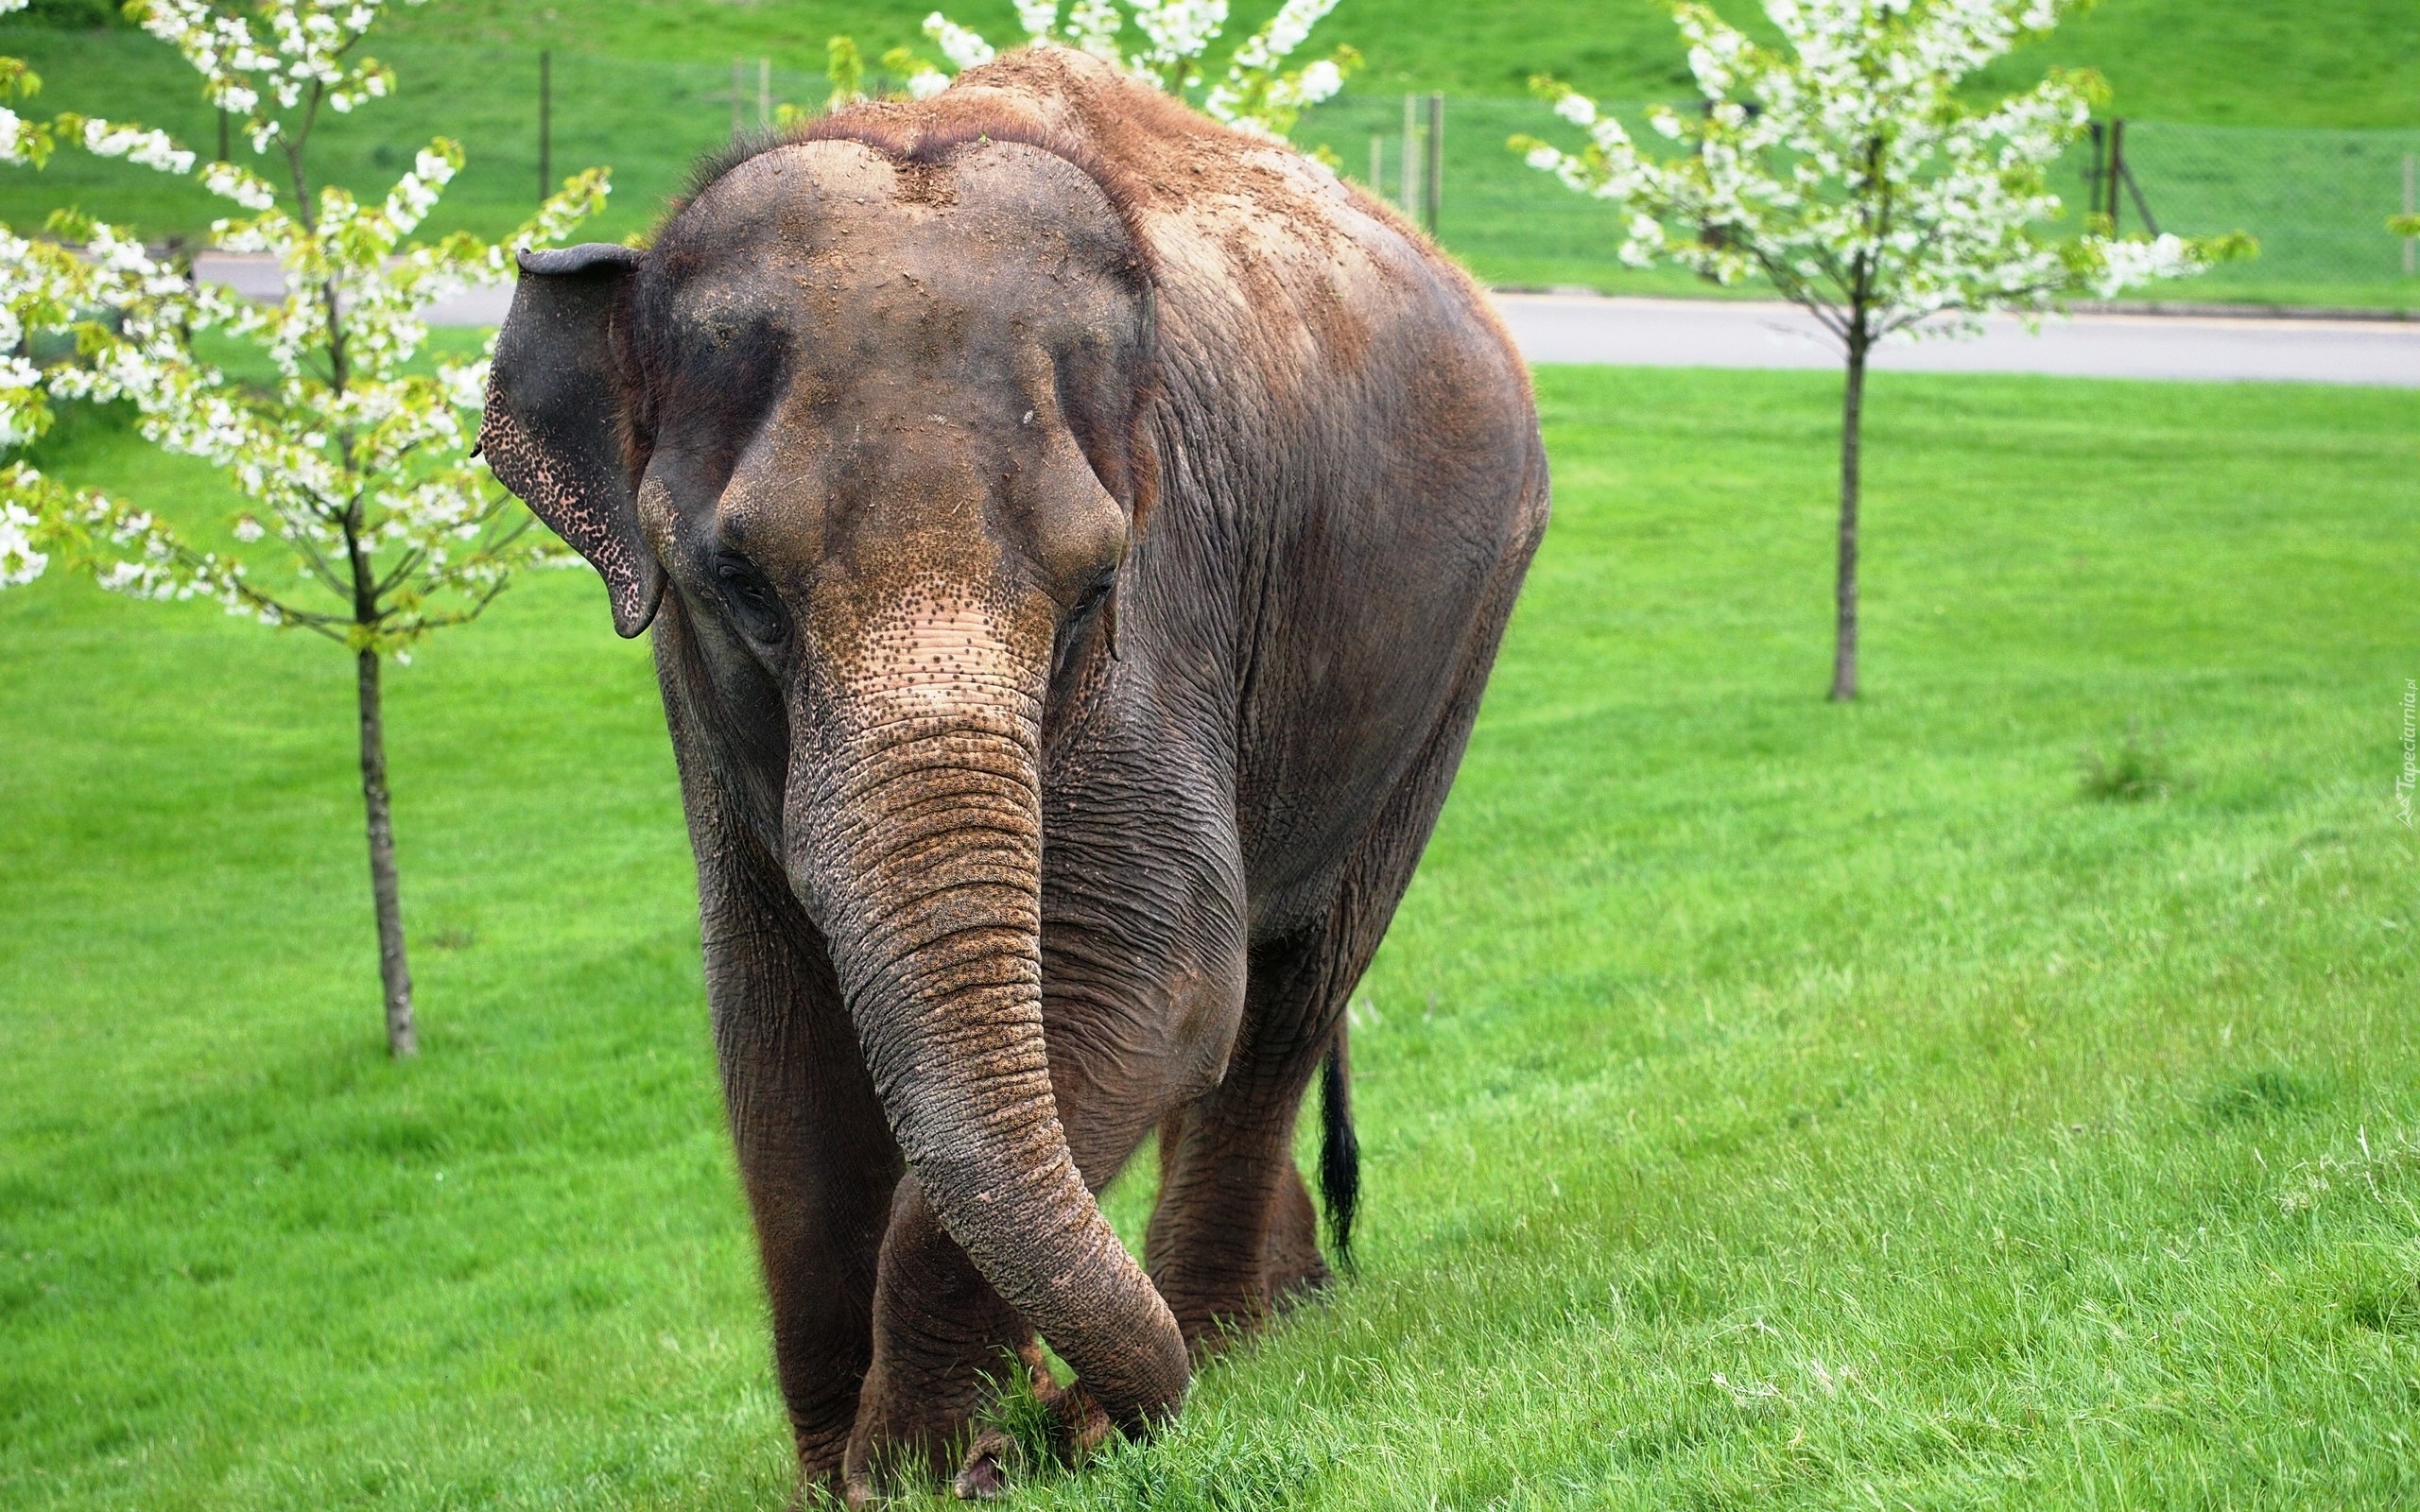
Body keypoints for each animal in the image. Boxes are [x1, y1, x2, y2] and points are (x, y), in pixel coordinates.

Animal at [476, 41, 1548, 1500]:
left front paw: (935, 1464)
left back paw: (1218, 1343)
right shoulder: (696, 704)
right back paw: (1268, 1317)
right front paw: (858, 1474)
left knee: (1291, 984)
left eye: (1096, 584)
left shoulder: (1174, 602)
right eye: (737, 581)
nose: (1043, 1415)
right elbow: (771, 1030)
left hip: (1458, 639)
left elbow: (1157, 979)